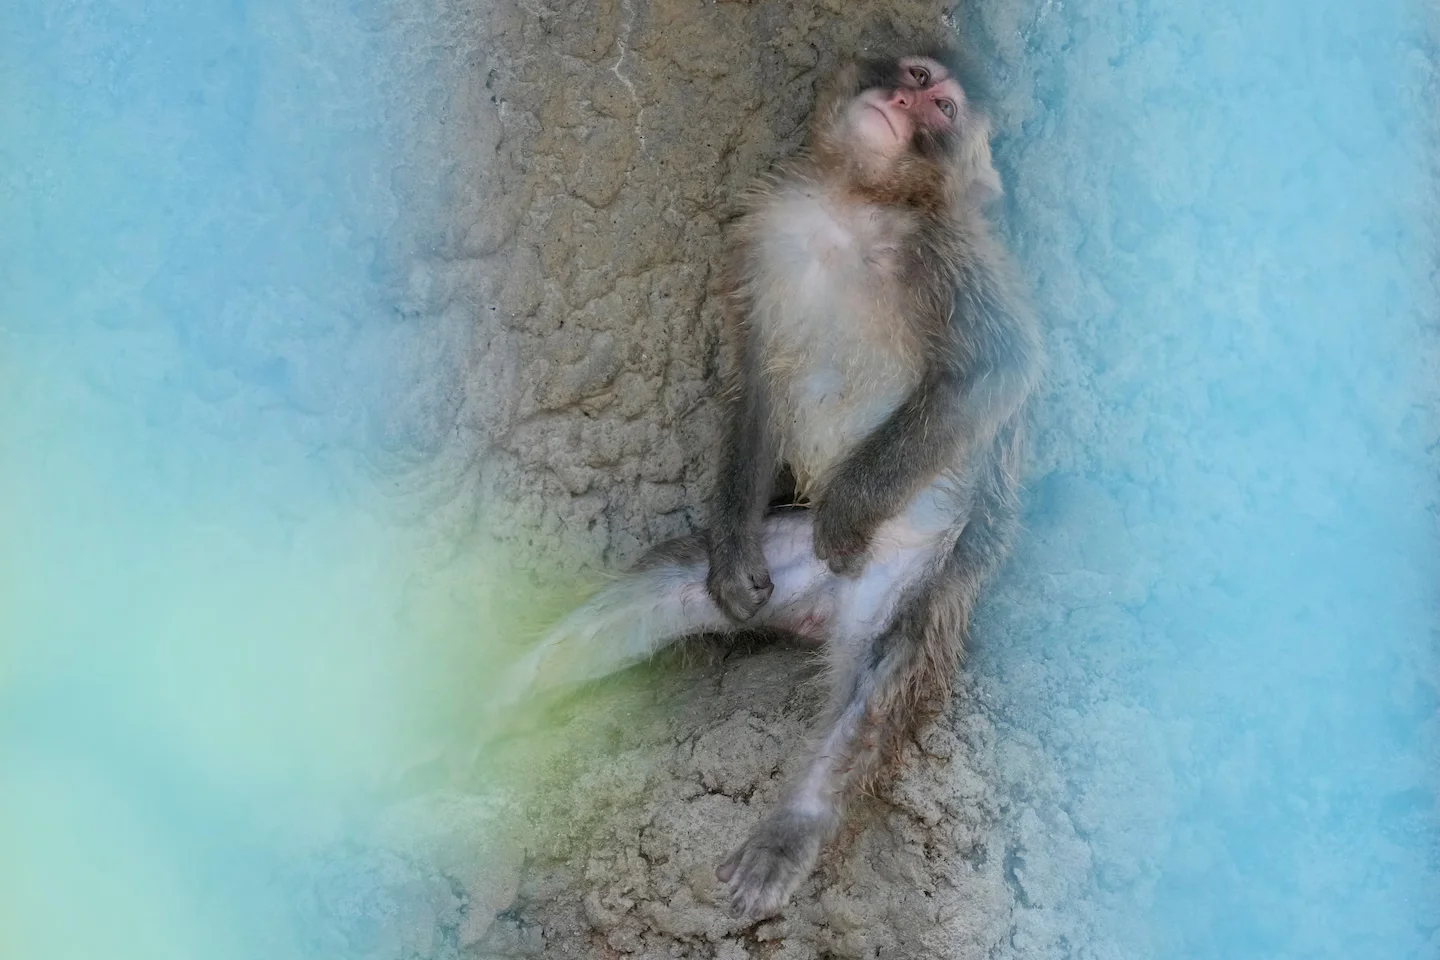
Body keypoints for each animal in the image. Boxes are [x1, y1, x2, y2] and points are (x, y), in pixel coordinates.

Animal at [494, 42, 1041, 921]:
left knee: (884, 667)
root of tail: (825, 609)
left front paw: (846, 513)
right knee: (668, 586)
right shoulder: (765, 231)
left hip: (916, 568)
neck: (852, 203)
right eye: (918, 78)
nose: (905, 103)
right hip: (780, 558)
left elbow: (999, 369)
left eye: (944, 112)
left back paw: (796, 824)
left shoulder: (948, 253)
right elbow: (757, 380)